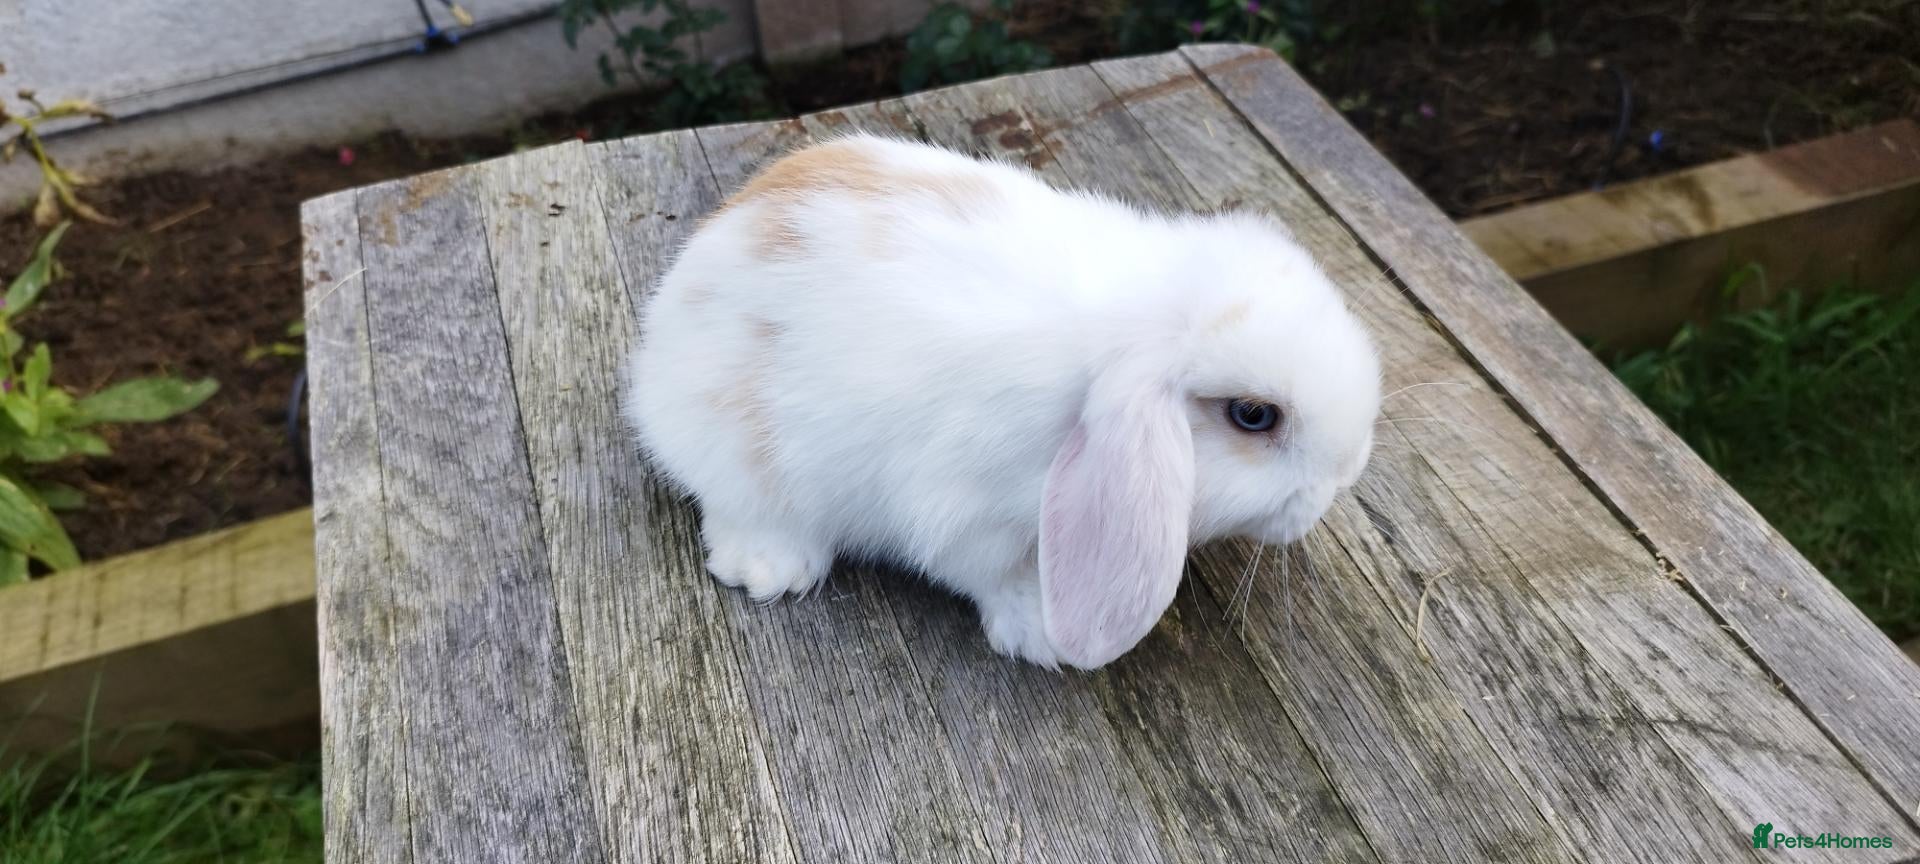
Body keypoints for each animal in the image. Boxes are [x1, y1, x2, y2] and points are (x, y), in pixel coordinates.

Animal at [624, 133, 1381, 670]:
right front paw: (1042, 632)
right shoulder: (961, 509)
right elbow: (990, 571)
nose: (1344, 477)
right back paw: (770, 569)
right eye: (1253, 415)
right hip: (736, 455)